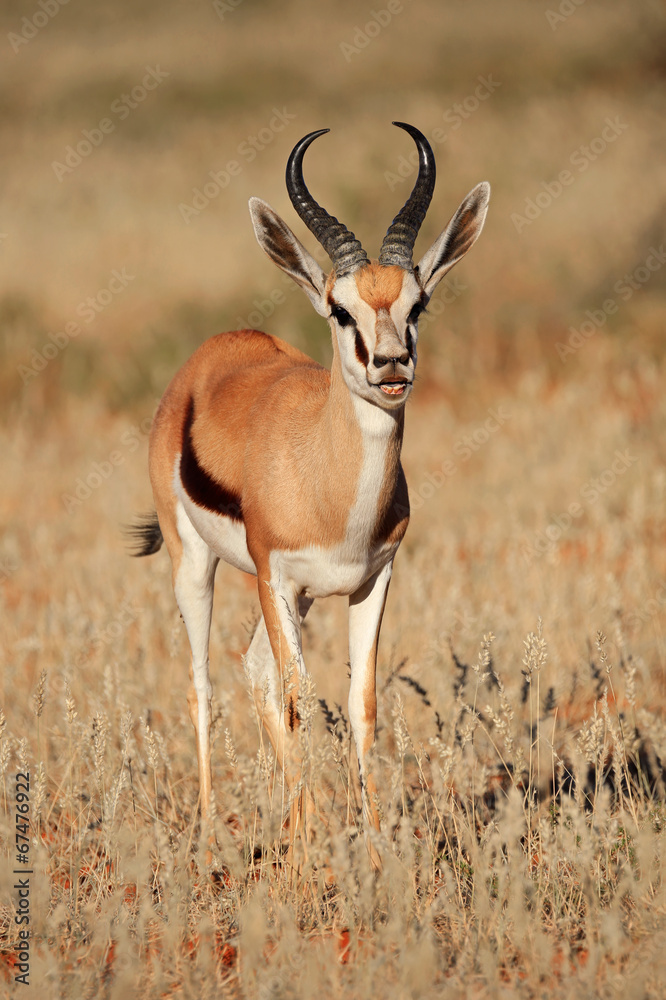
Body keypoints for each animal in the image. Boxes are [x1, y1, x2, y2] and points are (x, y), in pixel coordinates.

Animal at [133, 122, 489, 865]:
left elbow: (358, 702)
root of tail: (214, 352)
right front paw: (307, 856)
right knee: (203, 683)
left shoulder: (370, 581)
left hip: (289, 601)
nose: (391, 366)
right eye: (339, 310)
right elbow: (300, 699)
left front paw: (371, 846)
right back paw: (211, 834)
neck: (330, 485)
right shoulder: (275, 576)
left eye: (417, 304)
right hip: (197, 568)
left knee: (254, 670)